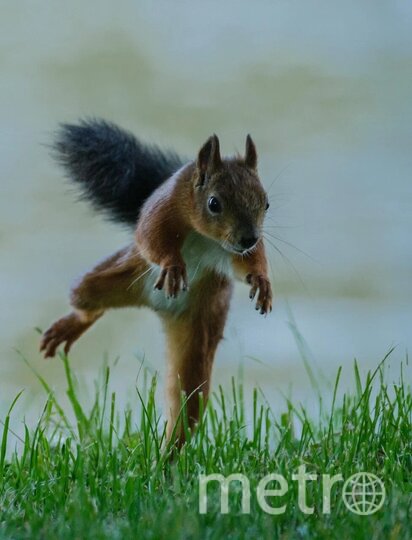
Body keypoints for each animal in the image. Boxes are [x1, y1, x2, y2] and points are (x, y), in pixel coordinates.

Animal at [41, 119, 274, 442]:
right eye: (214, 203)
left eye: (266, 203)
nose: (249, 238)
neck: (205, 235)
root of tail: (159, 306)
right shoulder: (163, 209)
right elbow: (150, 236)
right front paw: (173, 266)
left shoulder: (234, 252)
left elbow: (249, 262)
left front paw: (262, 281)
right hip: (113, 277)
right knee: (87, 302)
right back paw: (72, 324)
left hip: (198, 332)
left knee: (186, 402)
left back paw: (169, 451)